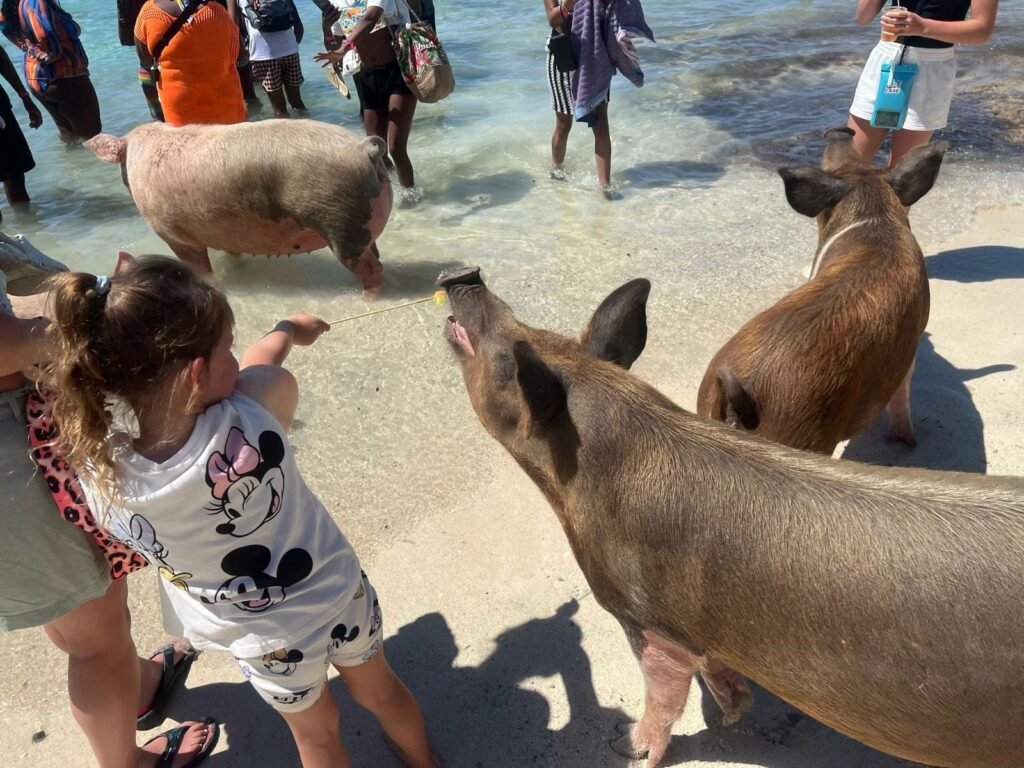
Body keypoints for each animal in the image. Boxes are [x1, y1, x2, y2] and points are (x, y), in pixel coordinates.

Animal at [84, 120, 393, 297]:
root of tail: (364, 147)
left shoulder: (173, 233)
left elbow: (200, 268)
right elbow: (232, 253)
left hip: (341, 221)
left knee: (371, 269)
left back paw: (366, 298)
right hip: (359, 222)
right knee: (376, 254)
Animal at [441, 266, 1024, 768]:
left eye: (504, 355)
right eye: (533, 329)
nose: (465, 274)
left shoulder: (648, 617)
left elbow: (665, 694)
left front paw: (627, 745)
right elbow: (713, 665)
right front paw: (736, 705)